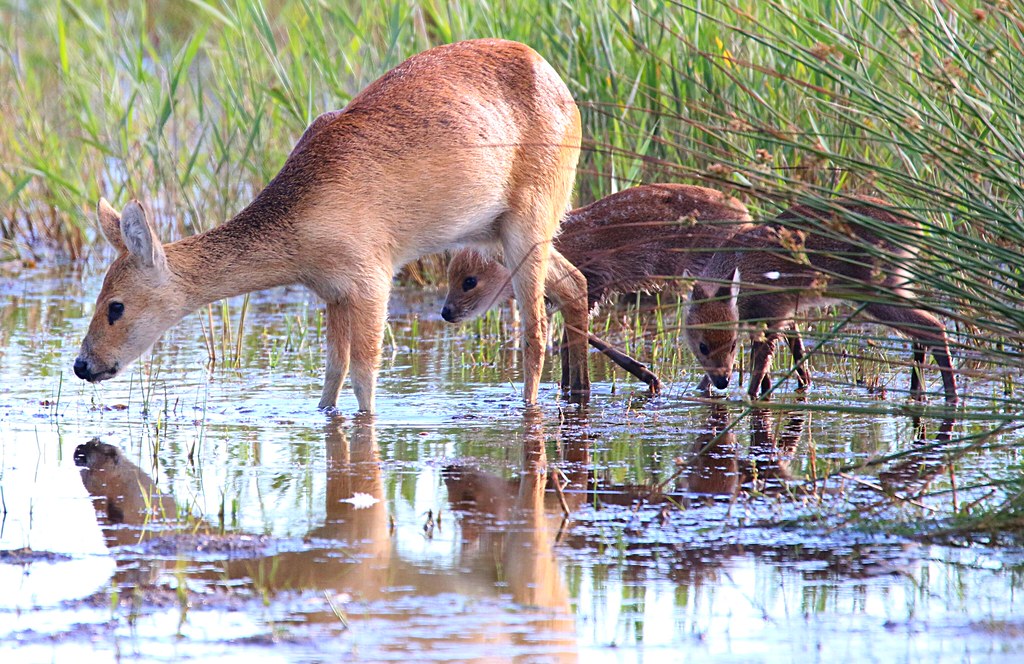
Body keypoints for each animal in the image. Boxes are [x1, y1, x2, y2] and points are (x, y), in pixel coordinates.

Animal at [72, 39, 592, 414]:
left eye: (116, 306)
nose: (82, 364)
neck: (300, 224)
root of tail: (567, 93)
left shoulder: (372, 279)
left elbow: (364, 376)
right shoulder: (334, 292)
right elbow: (332, 374)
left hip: (529, 221)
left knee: (535, 330)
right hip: (499, 231)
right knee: (575, 285)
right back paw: (578, 392)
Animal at [440, 183, 755, 393]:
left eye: (469, 281)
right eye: (450, 275)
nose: (446, 312)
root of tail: (747, 214)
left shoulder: (593, 283)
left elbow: (575, 340)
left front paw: (647, 376)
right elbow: (570, 343)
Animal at [684, 196, 959, 404]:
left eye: (732, 345)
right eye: (702, 346)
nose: (723, 381)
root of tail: (913, 227)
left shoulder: (774, 314)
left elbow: (760, 367)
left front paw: (748, 398)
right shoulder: (781, 315)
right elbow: (795, 359)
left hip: (876, 292)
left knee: (934, 326)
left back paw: (951, 396)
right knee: (923, 329)